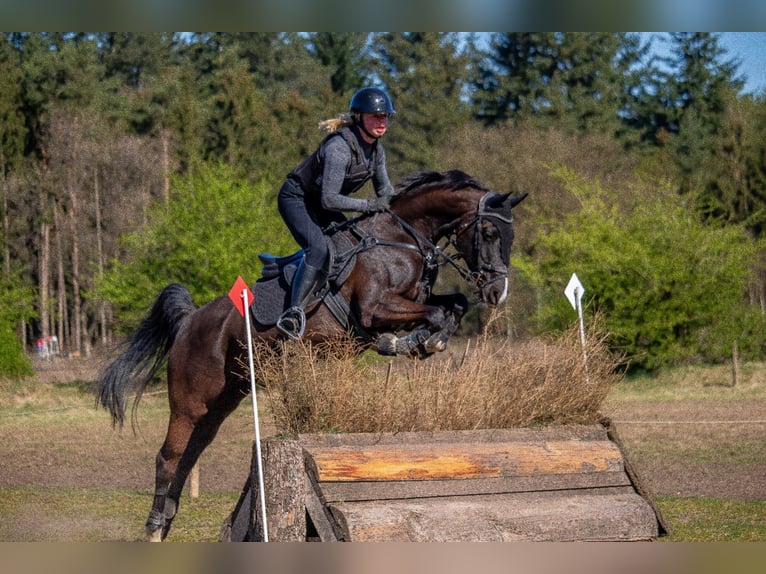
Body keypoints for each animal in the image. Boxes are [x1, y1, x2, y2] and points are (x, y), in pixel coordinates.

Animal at [96, 169, 526, 541]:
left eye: (510, 234)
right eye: (489, 231)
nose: (497, 293)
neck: (400, 239)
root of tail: (189, 319)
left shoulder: (413, 302)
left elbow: (452, 306)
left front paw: (425, 341)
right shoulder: (374, 310)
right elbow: (434, 314)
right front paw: (408, 342)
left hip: (223, 401)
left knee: (189, 456)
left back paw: (168, 520)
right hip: (190, 401)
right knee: (168, 458)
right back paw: (154, 528)